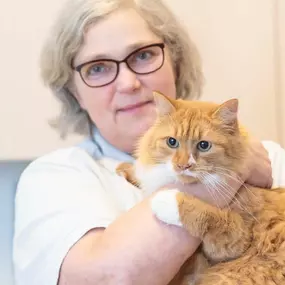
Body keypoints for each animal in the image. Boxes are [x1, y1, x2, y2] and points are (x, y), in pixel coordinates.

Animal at [115, 92, 284, 282]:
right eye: (172, 142)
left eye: (204, 145)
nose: (183, 165)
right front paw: (127, 169)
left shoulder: (235, 238)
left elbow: (206, 215)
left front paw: (165, 200)